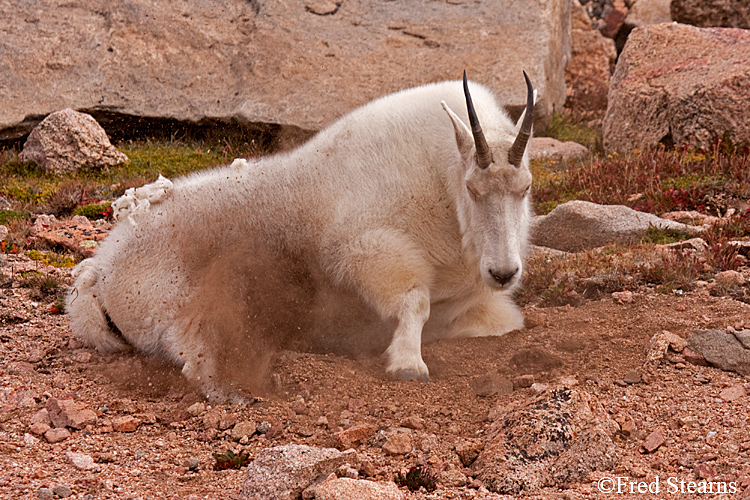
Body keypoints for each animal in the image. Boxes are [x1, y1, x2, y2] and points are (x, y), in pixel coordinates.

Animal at [64, 72, 536, 402]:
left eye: (526, 187)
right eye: (474, 189)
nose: (503, 272)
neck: (440, 180)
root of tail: (99, 272)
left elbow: (501, 322)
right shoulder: (366, 250)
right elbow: (413, 302)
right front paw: (406, 365)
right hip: (180, 307)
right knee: (196, 360)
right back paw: (237, 393)